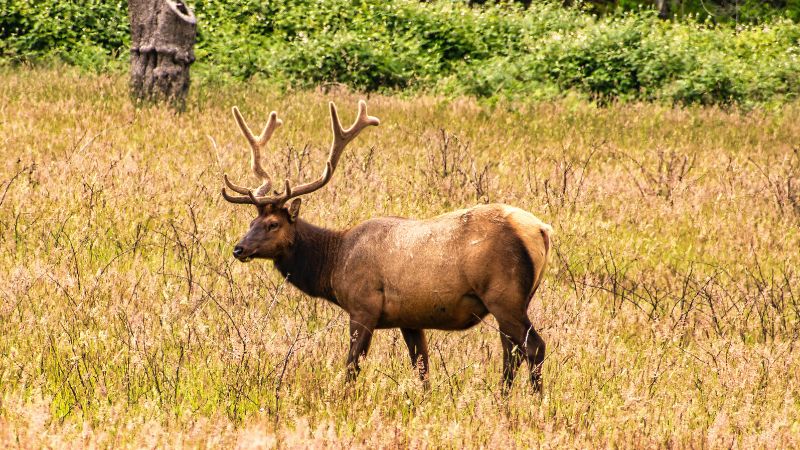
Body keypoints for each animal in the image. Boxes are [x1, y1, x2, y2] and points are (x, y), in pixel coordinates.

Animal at [221, 100, 552, 394]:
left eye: (273, 224)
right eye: (252, 220)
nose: (238, 249)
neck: (334, 263)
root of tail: (541, 229)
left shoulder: (363, 306)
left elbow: (352, 366)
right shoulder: (410, 319)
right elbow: (422, 367)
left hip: (503, 294)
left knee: (534, 347)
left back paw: (535, 402)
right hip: (514, 300)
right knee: (511, 353)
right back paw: (504, 398)